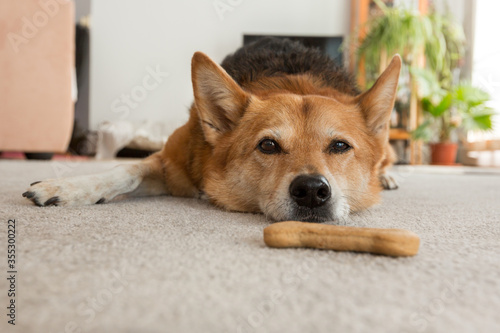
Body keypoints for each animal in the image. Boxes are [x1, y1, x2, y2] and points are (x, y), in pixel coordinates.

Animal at [23, 37, 400, 222]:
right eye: (268, 145)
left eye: (339, 146)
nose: (311, 190)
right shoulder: (170, 161)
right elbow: (123, 171)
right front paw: (68, 187)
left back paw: (387, 177)